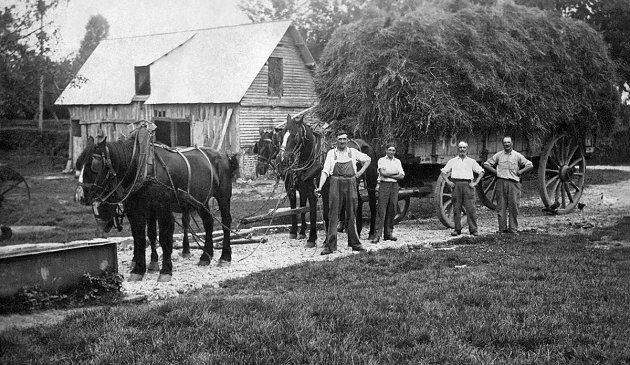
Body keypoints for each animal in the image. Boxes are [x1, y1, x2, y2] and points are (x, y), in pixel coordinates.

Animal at [76, 125, 239, 282]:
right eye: (79, 165)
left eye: (94, 165)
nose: (79, 196)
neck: (142, 167)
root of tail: (223, 155)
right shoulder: (136, 211)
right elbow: (140, 239)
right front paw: (138, 270)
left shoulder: (162, 210)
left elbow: (164, 239)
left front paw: (165, 270)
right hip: (201, 200)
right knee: (208, 222)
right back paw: (206, 256)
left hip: (223, 195)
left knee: (226, 221)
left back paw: (225, 257)